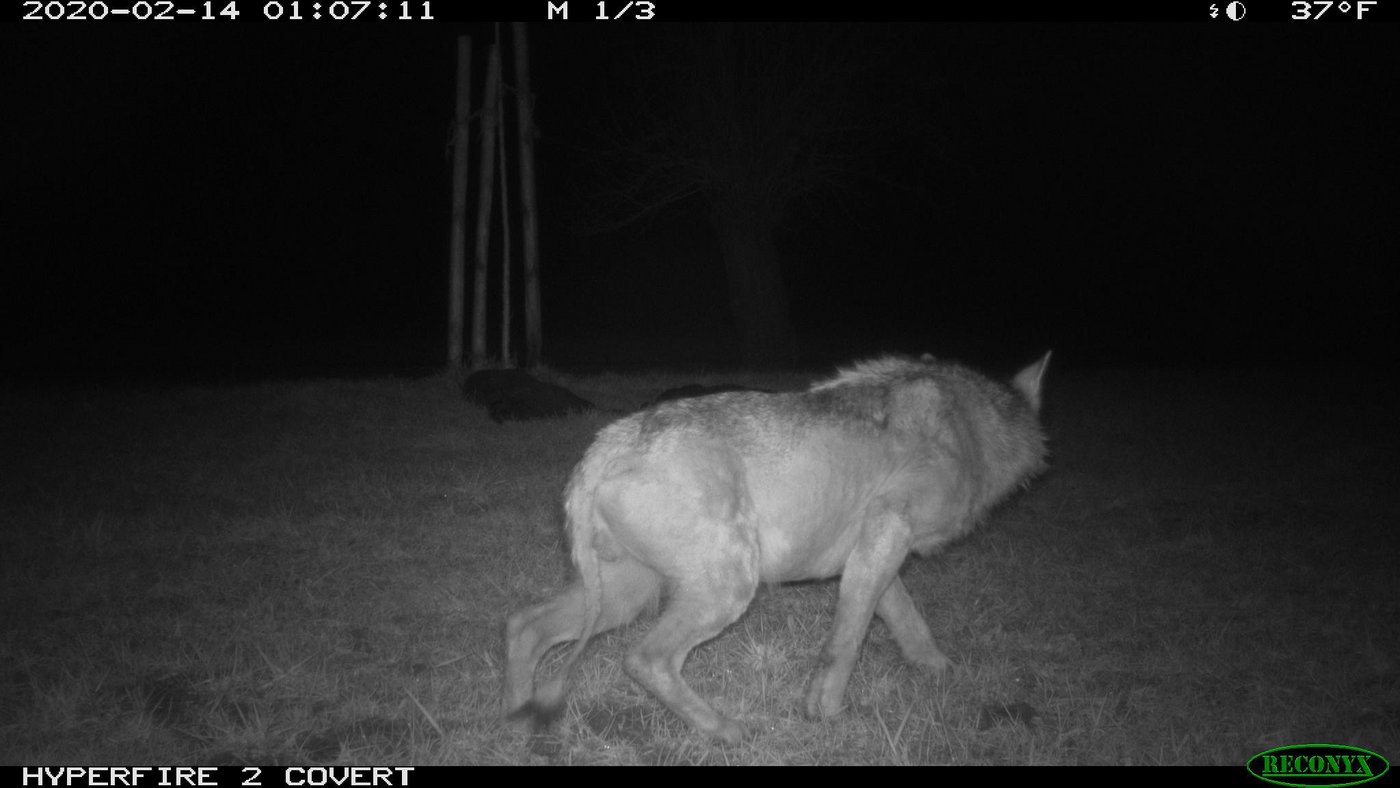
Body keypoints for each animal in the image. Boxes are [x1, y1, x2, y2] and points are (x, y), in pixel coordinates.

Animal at [504, 352, 1051, 744]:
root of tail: (602, 447)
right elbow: (845, 643)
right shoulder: (887, 529)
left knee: (525, 624)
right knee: (644, 658)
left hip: (624, 595)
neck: (974, 430)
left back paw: (513, 721)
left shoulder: (871, 554)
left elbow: (907, 622)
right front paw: (824, 714)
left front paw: (938, 670)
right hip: (723, 589)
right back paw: (725, 731)